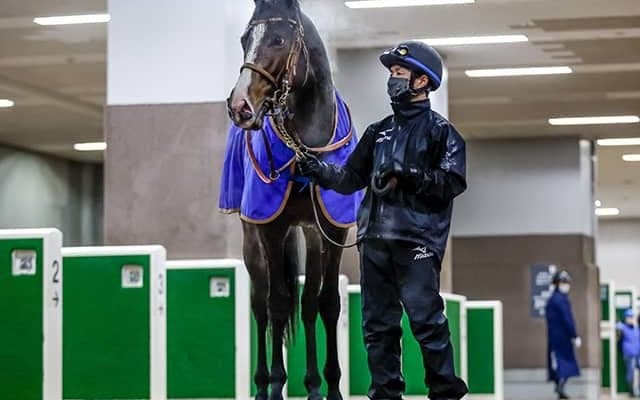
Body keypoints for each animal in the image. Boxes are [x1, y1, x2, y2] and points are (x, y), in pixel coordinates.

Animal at [222, 1, 362, 400]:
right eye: (244, 39)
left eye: (279, 40)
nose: (240, 106)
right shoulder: (272, 228)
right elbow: (278, 303)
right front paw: (274, 384)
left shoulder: (333, 229)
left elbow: (326, 303)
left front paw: (329, 386)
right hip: (252, 236)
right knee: (262, 304)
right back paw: (262, 384)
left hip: (311, 236)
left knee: (309, 303)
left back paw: (311, 384)